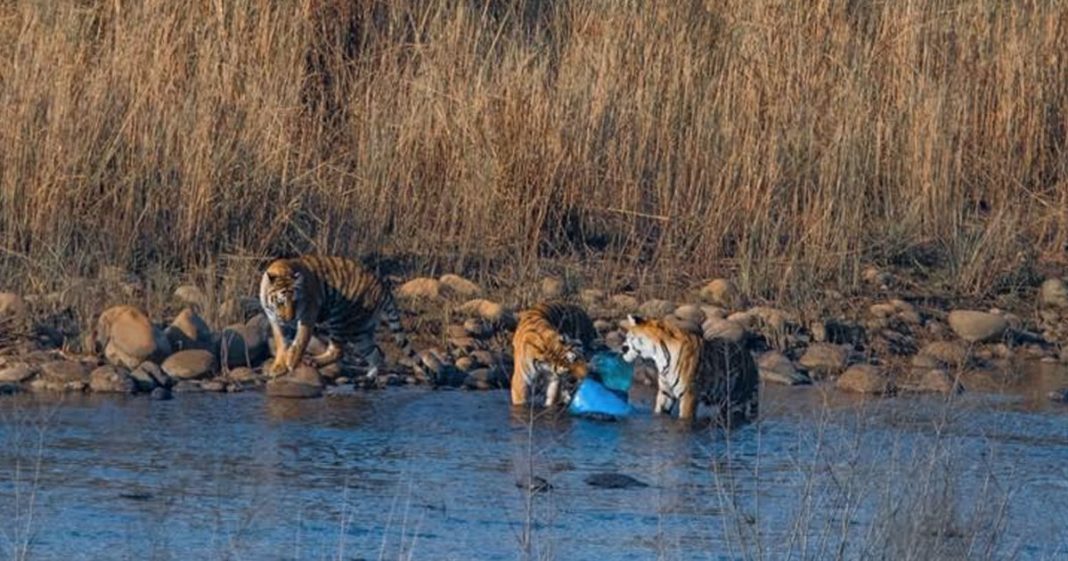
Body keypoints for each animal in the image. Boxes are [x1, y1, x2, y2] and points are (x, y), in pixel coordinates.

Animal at [259, 255, 425, 382]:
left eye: (295, 302)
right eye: (281, 302)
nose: (289, 318)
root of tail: (382, 287)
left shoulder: (308, 315)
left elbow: (300, 341)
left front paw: (291, 362)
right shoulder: (274, 320)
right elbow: (281, 342)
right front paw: (278, 367)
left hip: (340, 319)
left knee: (339, 351)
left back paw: (313, 361)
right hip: (360, 331)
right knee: (375, 352)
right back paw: (368, 378)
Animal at [619, 309, 760, 425]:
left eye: (629, 337)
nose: (622, 348)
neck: (659, 356)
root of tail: (750, 357)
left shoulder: (689, 395)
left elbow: (685, 417)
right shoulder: (666, 392)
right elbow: (660, 411)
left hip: (737, 400)